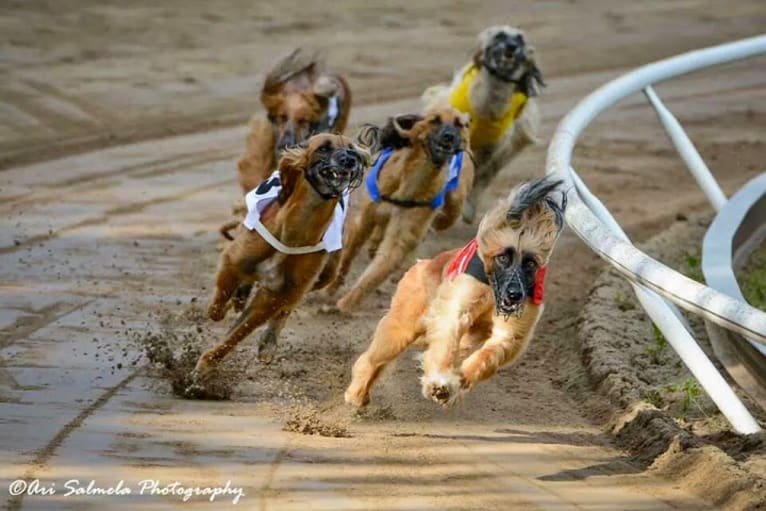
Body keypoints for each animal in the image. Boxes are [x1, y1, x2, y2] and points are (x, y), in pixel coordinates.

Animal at [328, 106, 474, 314]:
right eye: (434, 120)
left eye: (458, 123)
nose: (449, 136)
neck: (411, 183)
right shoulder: (366, 216)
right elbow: (349, 252)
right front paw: (332, 287)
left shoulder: (405, 227)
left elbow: (381, 266)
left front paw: (345, 304)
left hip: (453, 204)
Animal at [344, 176, 568, 408]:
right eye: (503, 257)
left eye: (530, 263)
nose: (514, 295)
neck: (492, 290)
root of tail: (424, 263)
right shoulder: (456, 308)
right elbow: (447, 339)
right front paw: (439, 381)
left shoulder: (510, 333)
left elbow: (489, 354)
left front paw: (456, 384)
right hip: (404, 322)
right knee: (374, 358)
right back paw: (356, 394)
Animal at [426, 25, 544, 222]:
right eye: (499, 35)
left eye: (520, 38)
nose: (511, 47)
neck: (484, 108)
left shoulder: (492, 150)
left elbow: (479, 174)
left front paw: (465, 208)